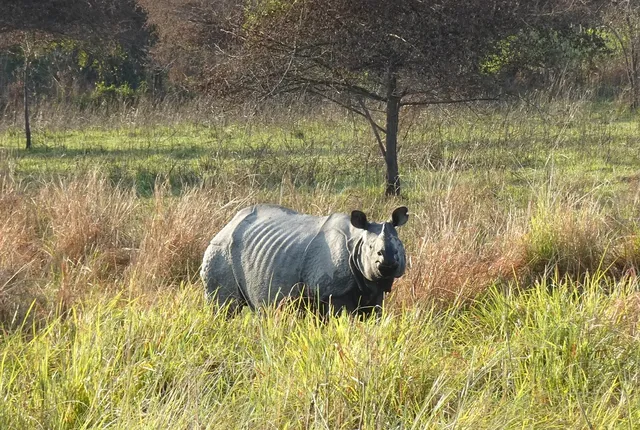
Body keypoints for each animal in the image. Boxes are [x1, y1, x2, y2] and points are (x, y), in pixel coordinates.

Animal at [201, 204, 409, 317]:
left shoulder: (375, 291)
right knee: (225, 309)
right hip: (220, 251)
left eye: (399, 246)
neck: (357, 241)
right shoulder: (334, 292)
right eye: (372, 249)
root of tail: (227, 224)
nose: (388, 264)